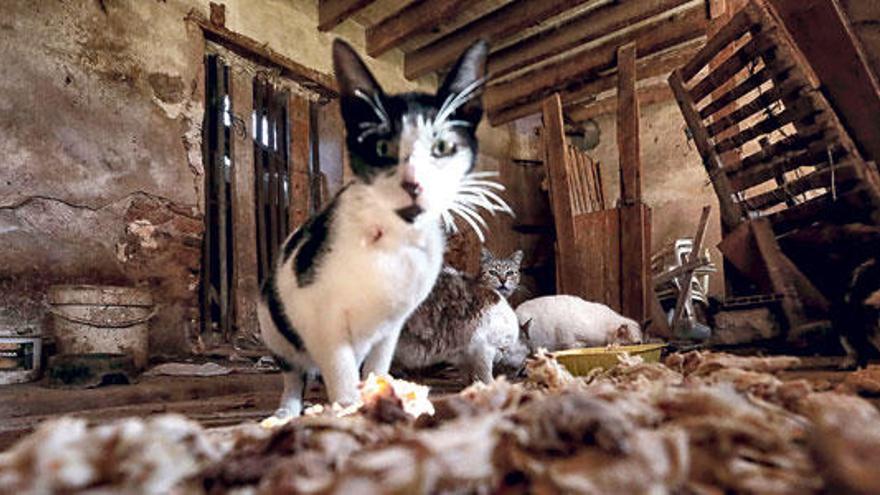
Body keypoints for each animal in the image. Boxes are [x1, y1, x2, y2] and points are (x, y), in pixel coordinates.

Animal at [258, 39, 506, 418]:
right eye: (382, 147)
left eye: (443, 147)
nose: (413, 183)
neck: (394, 243)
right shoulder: (321, 315)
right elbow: (341, 370)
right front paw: (349, 410)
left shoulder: (393, 326)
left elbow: (376, 366)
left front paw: (379, 397)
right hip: (272, 318)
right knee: (293, 372)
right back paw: (287, 409)